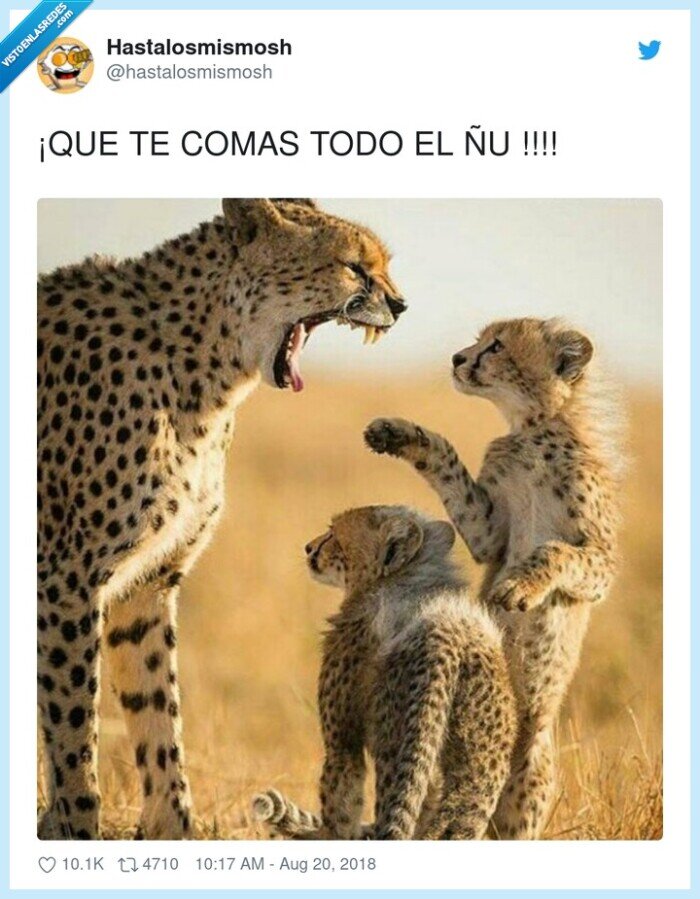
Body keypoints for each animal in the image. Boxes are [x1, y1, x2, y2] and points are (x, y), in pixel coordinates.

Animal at [37, 198, 406, 840]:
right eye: (355, 267)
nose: (402, 305)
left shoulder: (147, 581)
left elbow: (159, 716)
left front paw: (173, 828)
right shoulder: (65, 582)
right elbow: (73, 735)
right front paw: (74, 828)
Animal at [253, 505, 516, 841]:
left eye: (333, 534)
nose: (309, 548)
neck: (407, 579)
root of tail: (447, 636)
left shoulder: (342, 741)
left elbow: (341, 802)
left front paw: (329, 835)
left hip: (397, 748)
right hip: (478, 770)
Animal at [365, 317, 623, 839]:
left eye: (497, 346)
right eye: (478, 340)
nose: (457, 359)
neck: (534, 431)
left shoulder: (602, 562)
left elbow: (556, 551)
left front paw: (520, 587)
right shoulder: (488, 534)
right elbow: (446, 458)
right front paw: (401, 434)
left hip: (530, 774)